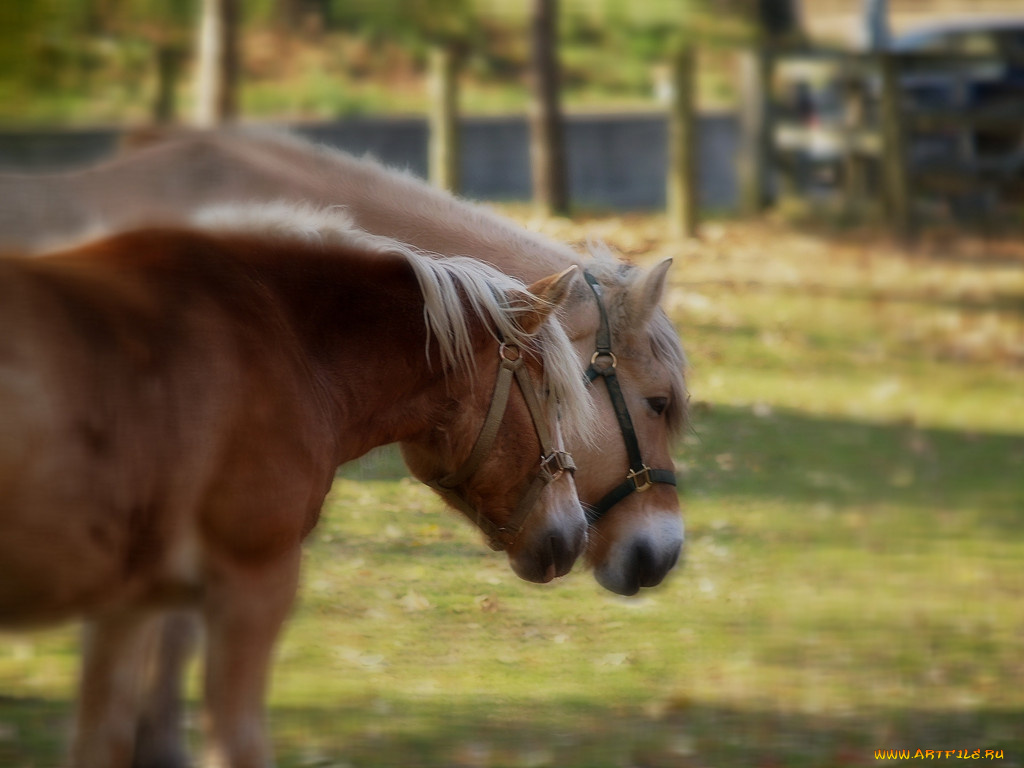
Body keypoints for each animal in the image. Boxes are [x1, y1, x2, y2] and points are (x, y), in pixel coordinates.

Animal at [0, 205, 593, 768]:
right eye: (548, 390)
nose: (572, 535)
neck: (286, 342)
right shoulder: (252, 582)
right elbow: (239, 747)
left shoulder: (132, 602)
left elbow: (101, 742)